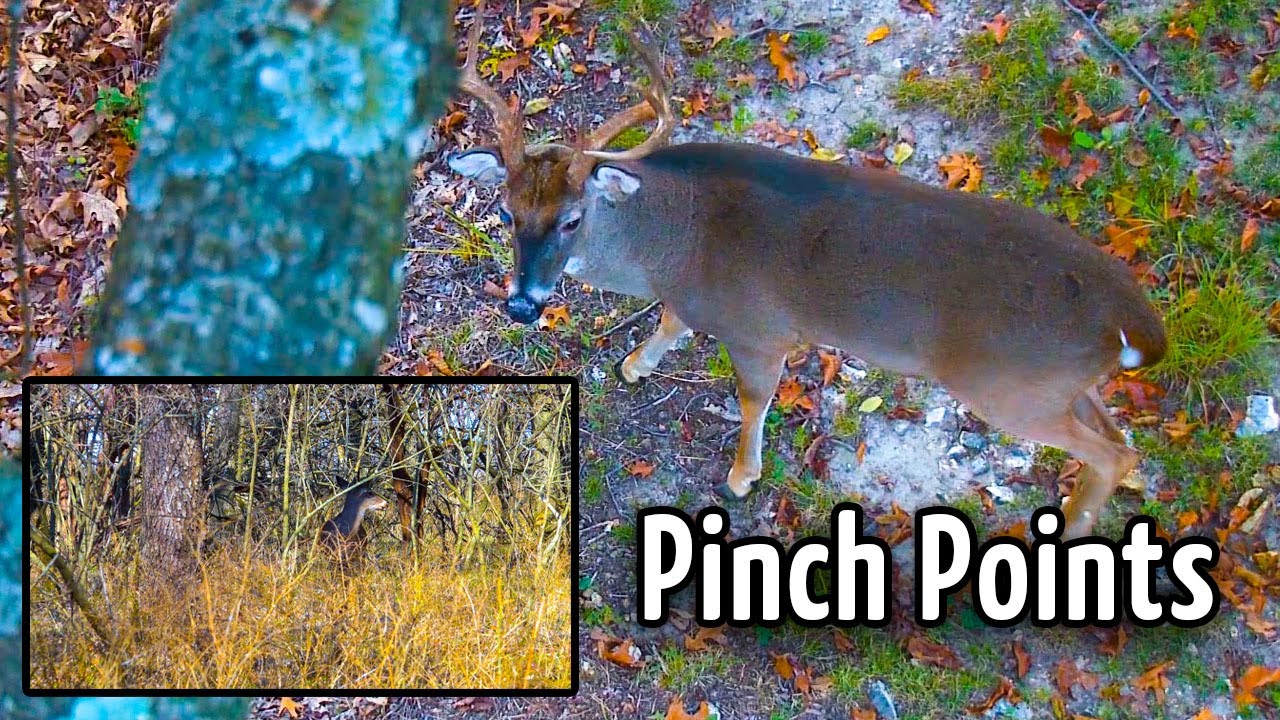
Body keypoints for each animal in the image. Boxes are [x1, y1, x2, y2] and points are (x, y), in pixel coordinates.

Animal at [445, 2, 1167, 539]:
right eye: (506, 211)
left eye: (572, 219)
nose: (522, 304)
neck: (674, 245)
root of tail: (1136, 322)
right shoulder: (693, 300)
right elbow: (673, 323)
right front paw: (635, 364)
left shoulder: (761, 331)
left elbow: (753, 398)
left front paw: (742, 476)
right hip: (1065, 385)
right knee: (1119, 439)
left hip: (1011, 387)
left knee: (1116, 452)